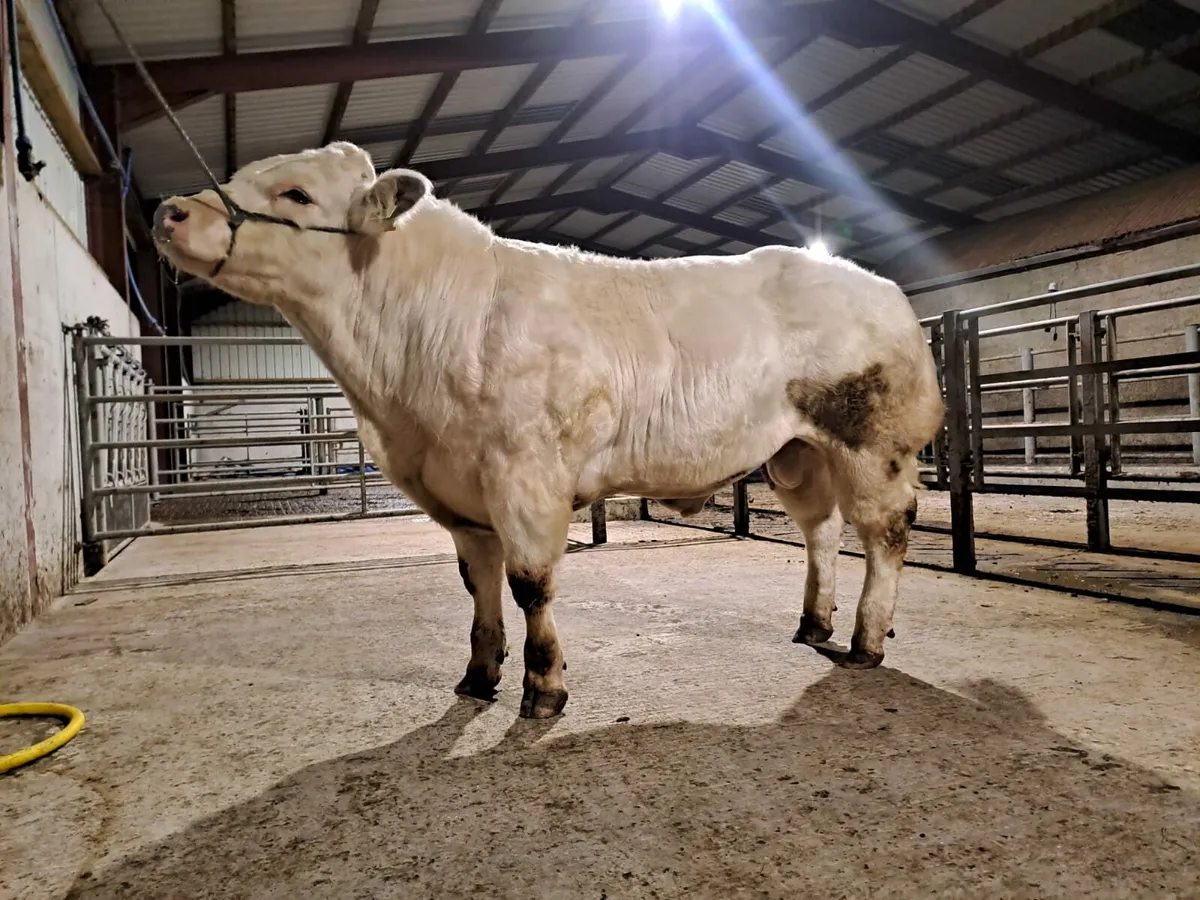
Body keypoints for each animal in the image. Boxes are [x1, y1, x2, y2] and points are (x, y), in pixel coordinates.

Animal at [151, 142, 945, 719]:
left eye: (296, 194)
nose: (170, 211)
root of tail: (884, 289)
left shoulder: (524, 477)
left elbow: (531, 583)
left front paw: (543, 689)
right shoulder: (462, 495)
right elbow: (478, 586)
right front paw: (478, 675)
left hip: (875, 447)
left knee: (885, 534)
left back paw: (866, 639)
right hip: (796, 452)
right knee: (821, 531)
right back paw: (814, 623)